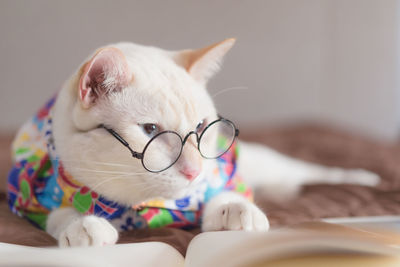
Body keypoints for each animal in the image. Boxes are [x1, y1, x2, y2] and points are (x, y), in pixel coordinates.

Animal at [7, 38, 380, 248]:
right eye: (150, 130)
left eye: (201, 127)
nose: (193, 171)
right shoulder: (32, 198)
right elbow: (62, 212)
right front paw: (83, 224)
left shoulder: (218, 178)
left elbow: (225, 195)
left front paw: (237, 211)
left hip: (271, 164)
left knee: (313, 172)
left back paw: (363, 178)